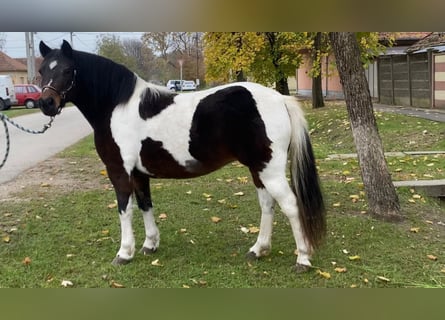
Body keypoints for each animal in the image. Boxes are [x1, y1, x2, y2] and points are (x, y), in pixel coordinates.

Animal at [35, 38, 326, 272]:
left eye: (67, 70)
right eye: (41, 70)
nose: (46, 103)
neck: (117, 106)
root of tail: (280, 99)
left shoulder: (119, 171)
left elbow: (124, 209)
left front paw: (124, 253)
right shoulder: (139, 174)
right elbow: (145, 205)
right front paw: (150, 244)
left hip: (270, 170)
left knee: (290, 205)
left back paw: (302, 259)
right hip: (258, 168)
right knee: (267, 205)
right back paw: (258, 249)